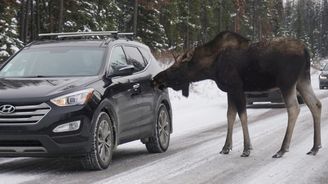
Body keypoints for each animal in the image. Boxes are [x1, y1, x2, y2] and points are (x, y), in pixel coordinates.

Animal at [155, 30, 322, 157]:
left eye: (175, 68)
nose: (157, 78)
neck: (212, 68)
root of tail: (306, 51)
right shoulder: (230, 90)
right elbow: (230, 115)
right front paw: (226, 147)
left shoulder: (236, 87)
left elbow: (242, 116)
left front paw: (246, 149)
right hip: (302, 80)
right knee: (316, 104)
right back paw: (315, 147)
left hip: (286, 82)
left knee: (294, 108)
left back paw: (282, 149)